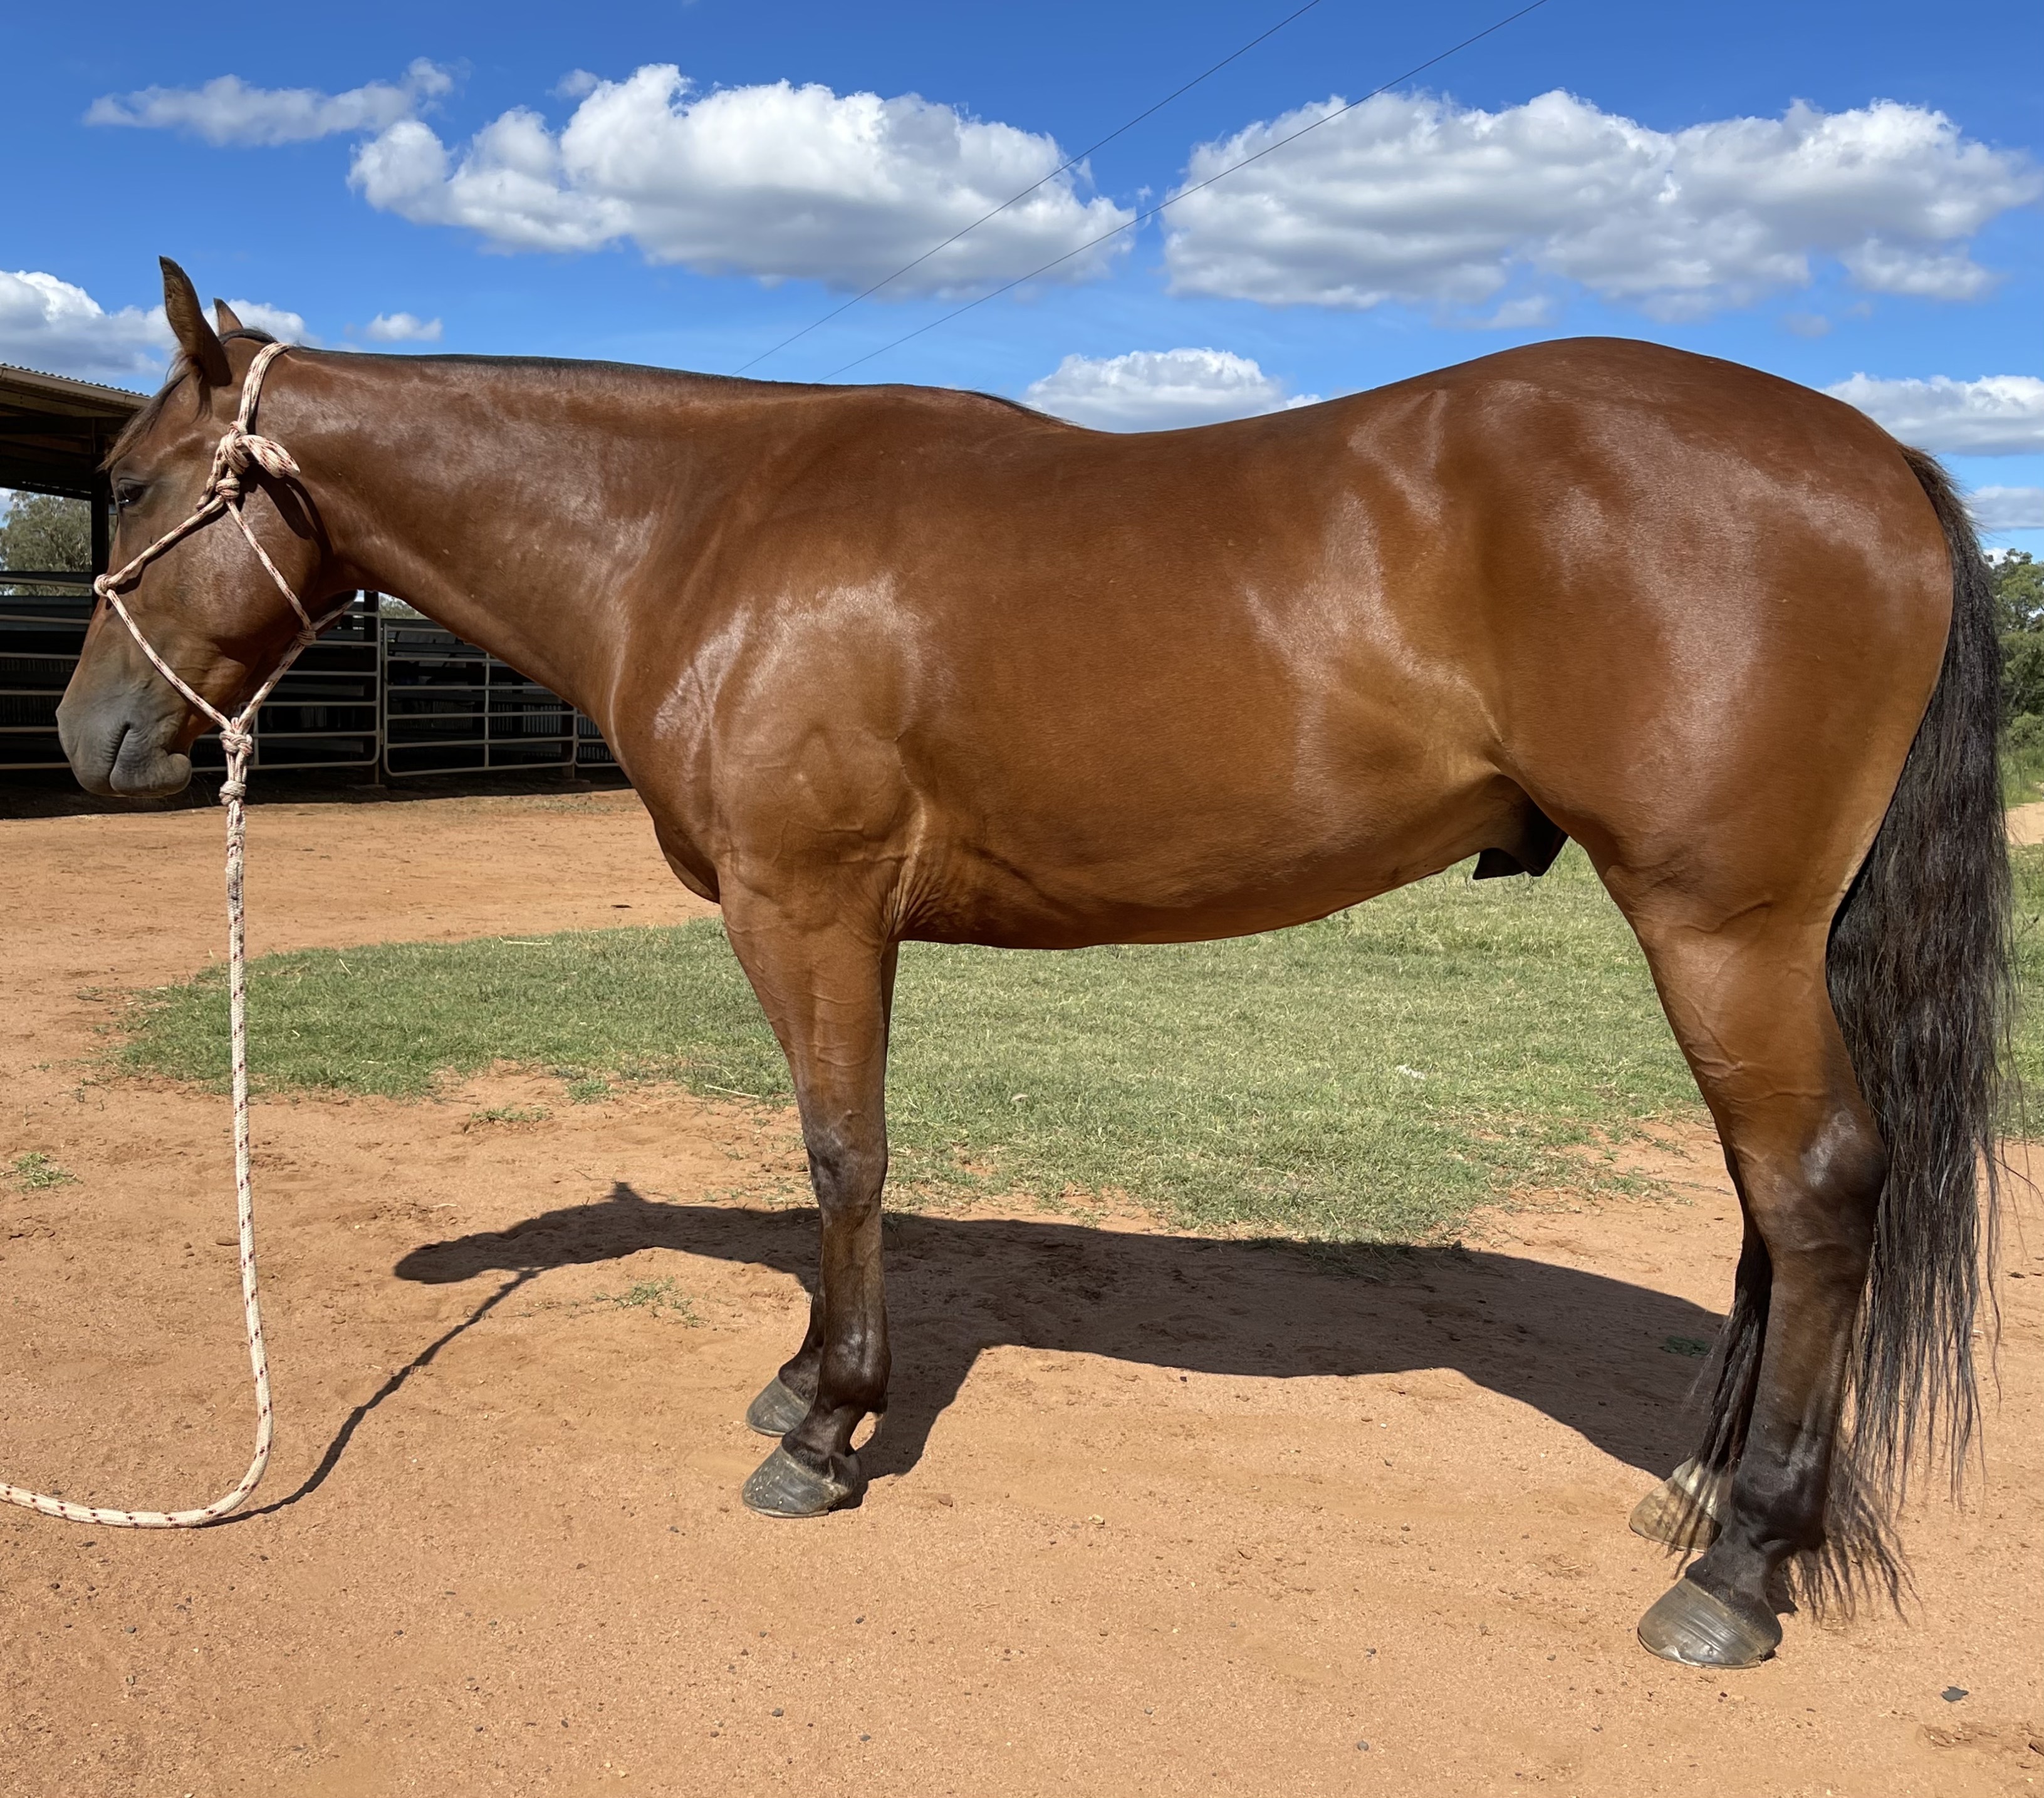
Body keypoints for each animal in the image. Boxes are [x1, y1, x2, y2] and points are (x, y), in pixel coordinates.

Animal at [57, 257, 2008, 1669]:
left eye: (131, 484)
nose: (87, 742)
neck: (703, 525)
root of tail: (1880, 462)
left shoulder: (805, 905)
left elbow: (841, 1153)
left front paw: (824, 1433)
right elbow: (837, 1157)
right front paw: (801, 1382)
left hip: (1720, 931)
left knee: (1813, 1192)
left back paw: (1736, 1570)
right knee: (1769, 1203)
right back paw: (1702, 1492)